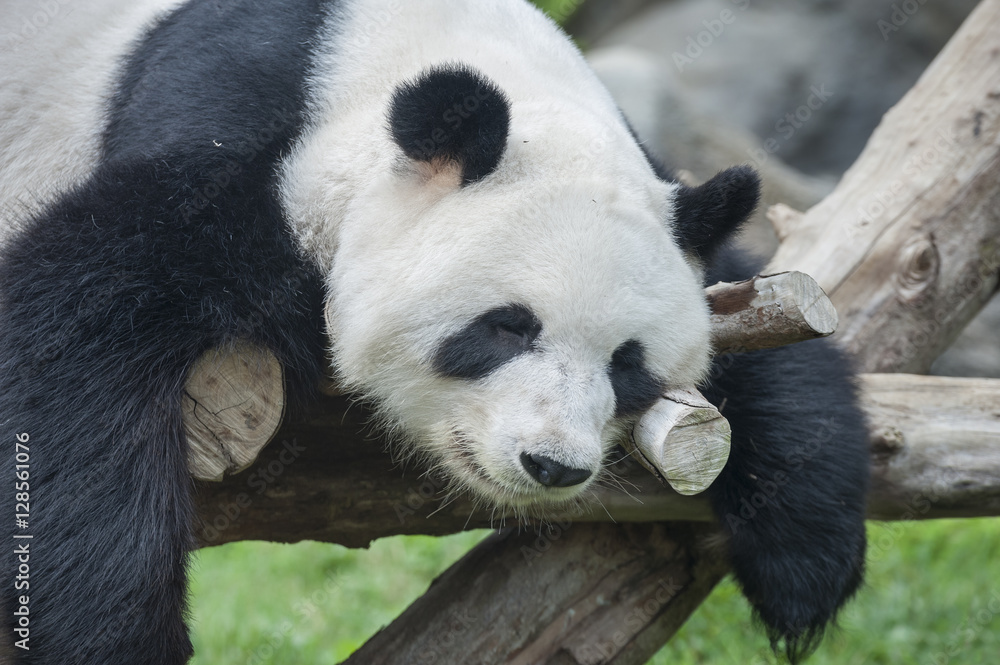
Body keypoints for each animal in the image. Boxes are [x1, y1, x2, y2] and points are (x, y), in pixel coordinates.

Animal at [0, 0, 869, 663]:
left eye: (629, 366)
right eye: (507, 326)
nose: (551, 464)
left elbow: (752, 304)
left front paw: (806, 556)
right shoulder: (232, 143)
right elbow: (69, 322)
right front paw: (114, 635)